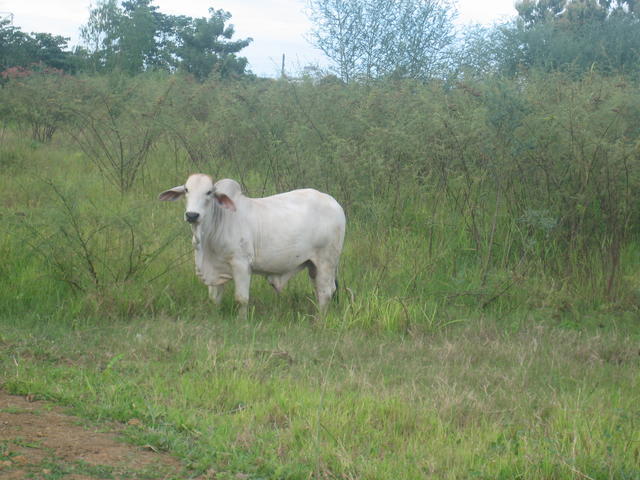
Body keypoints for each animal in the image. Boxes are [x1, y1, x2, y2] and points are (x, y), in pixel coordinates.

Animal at [159, 174, 346, 317]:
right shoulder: (216, 268)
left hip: (326, 262)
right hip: (313, 265)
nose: (192, 215)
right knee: (320, 289)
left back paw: (320, 320)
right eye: (186, 190)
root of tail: (335, 204)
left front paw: (242, 322)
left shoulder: (241, 264)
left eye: (209, 192)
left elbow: (242, 298)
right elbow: (214, 298)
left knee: (326, 292)